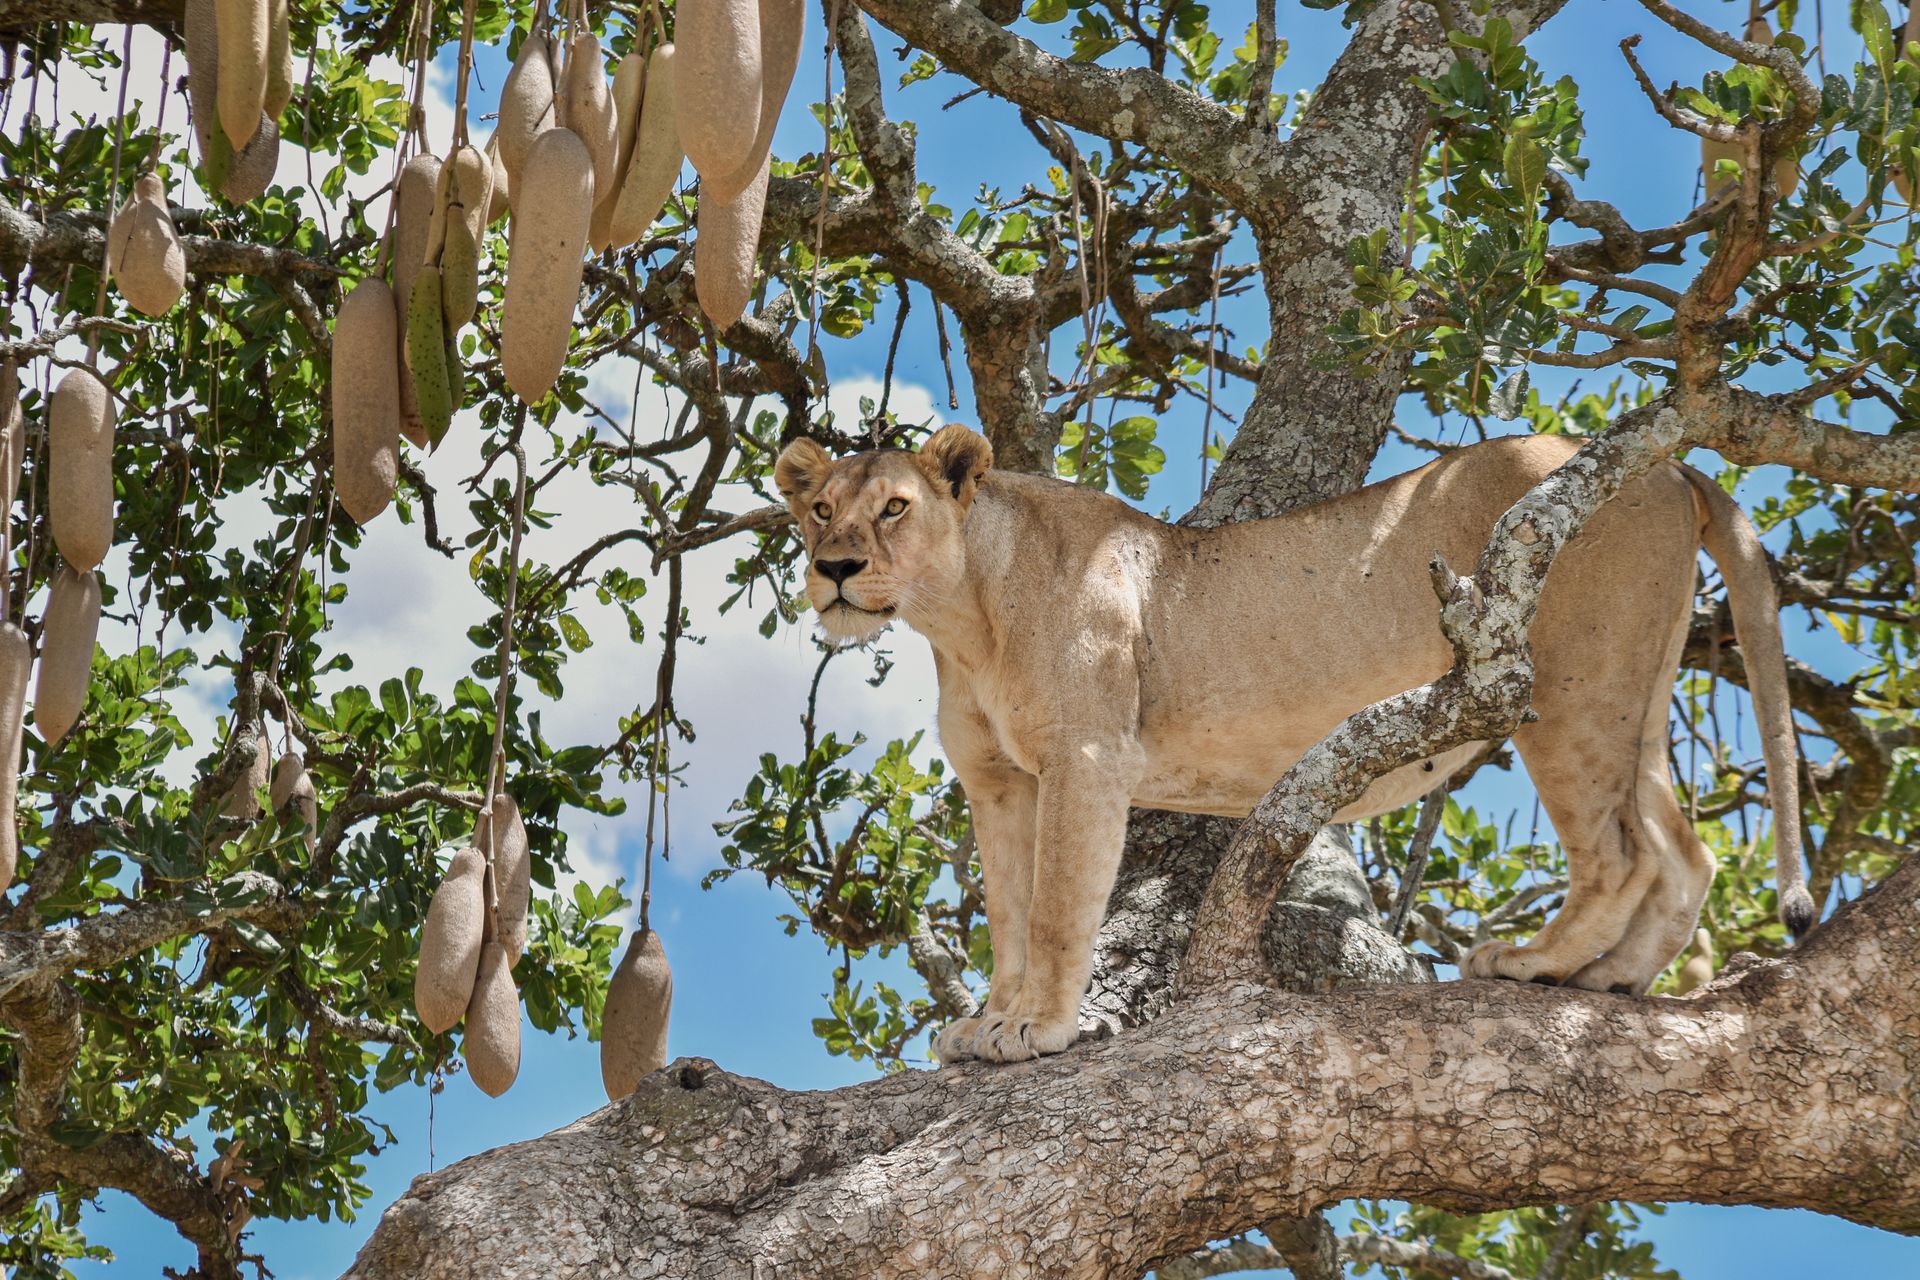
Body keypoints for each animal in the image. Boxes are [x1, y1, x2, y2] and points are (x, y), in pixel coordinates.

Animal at [774, 424, 1812, 1064]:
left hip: (1567, 689)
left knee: (1621, 852)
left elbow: (1060, 909)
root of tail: (1668, 466)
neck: (961, 615)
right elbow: (1008, 915)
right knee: (1684, 851)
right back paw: (1614, 979)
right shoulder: (999, 782)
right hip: (1635, 689)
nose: (835, 569)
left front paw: (1042, 1029)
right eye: (820, 508)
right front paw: (989, 1023)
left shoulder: (1086, 757)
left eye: (897, 507)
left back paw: (1538, 963)